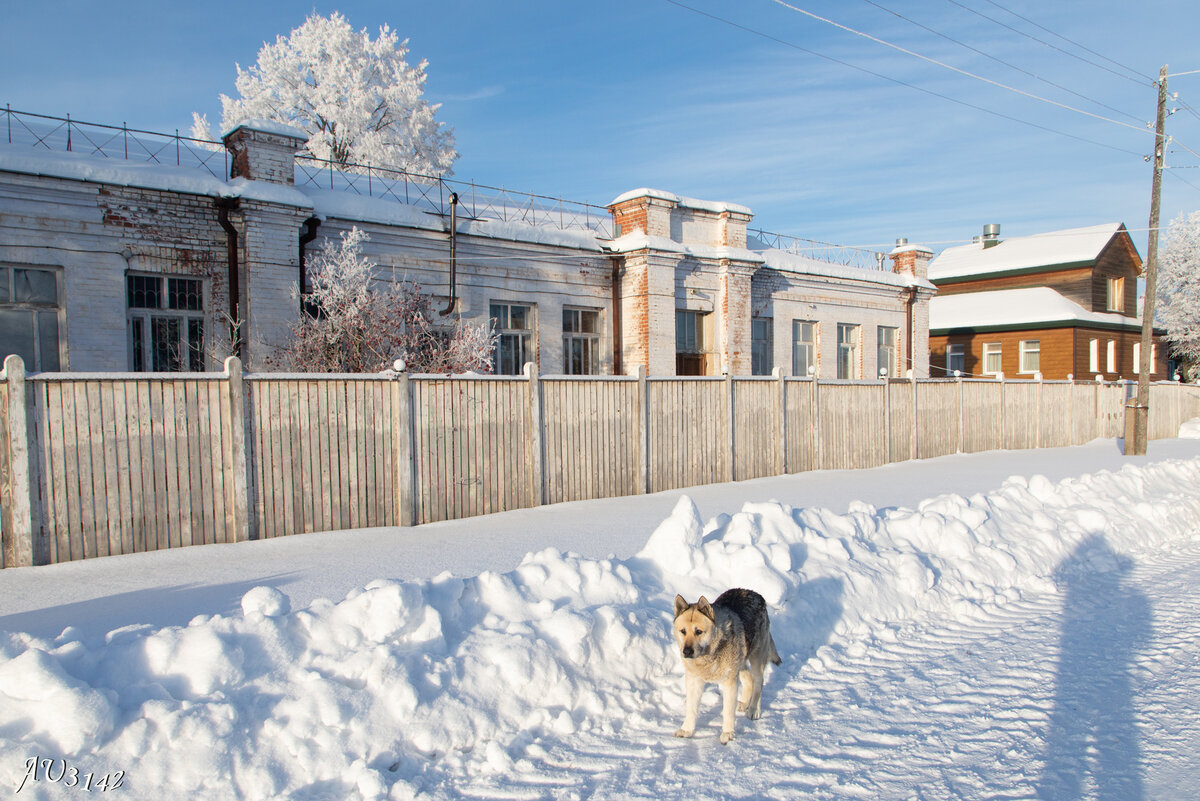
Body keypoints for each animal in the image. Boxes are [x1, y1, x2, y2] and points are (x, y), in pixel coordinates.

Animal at [672, 587, 782, 743]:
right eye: (683, 631)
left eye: (698, 631)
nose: (686, 651)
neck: (709, 654)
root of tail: (756, 594)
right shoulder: (694, 680)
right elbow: (691, 708)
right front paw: (687, 730)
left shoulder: (729, 682)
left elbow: (728, 711)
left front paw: (728, 733)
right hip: (740, 662)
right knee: (749, 679)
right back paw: (744, 703)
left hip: (756, 659)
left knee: (759, 683)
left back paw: (753, 709)